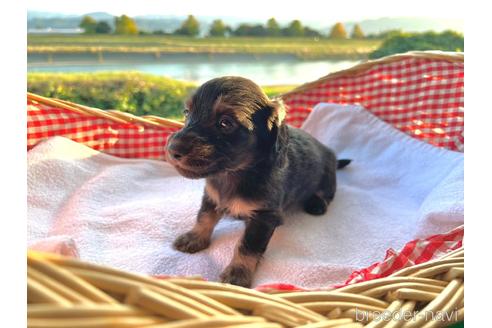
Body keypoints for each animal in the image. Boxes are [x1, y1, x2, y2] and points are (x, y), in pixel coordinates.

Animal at [165, 77, 350, 288]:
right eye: (186, 112)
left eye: (225, 123)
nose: (172, 149)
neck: (233, 174)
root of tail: (332, 155)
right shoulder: (211, 196)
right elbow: (204, 217)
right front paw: (194, 238)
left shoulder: (264, 217)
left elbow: (248, 246)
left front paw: (238, 273)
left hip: (327, 176)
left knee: (328, 193)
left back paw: (317, 203)